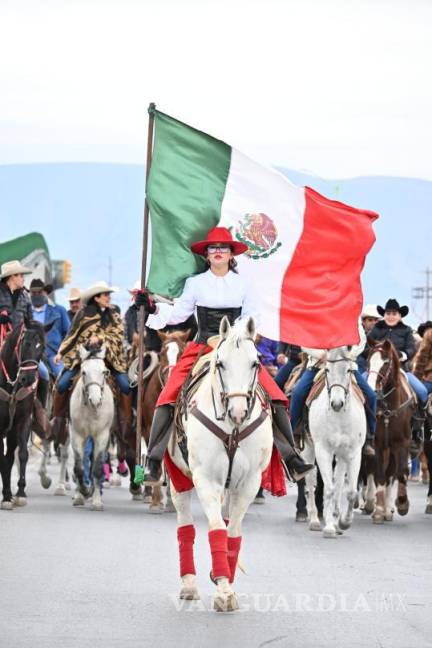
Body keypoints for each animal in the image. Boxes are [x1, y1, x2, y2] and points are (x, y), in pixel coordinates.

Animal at [69, 344, 114, 512]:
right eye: (83, 372)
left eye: (104, 372)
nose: (95, 400)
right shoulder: (76, 434)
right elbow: (79, 467)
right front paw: (83, 491)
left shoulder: (102, 435)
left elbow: (97, 467)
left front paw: (96, 501)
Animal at [167, 318, 272, 612]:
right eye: (221, 363)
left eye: (255, 362)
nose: (237, 412)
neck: (232, 429)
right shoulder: (206, 479)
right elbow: (216, 530)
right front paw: (224, 591)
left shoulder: (249, 483)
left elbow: (232, 533)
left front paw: (225, 581)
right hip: (179, 478)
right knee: (185, 527)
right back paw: (189, 584)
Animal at [302, 346, 366, 540]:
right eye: (327, 370)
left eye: (349, 370)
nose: (337, 403)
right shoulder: (323, 451)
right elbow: (328, 489)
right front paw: (329, 527)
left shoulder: (354, 453)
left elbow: (349, 491)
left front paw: (343, 523)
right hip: (308, 449)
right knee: (310, 483)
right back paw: (314, 519)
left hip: (342, 456)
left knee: (338, 484)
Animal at [366, 340, 414, 520]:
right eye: (369, 361)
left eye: (385, 363)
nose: (371, 387)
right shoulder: (379, 445)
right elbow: (380, 473)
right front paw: (379, 510)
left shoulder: (402, 443)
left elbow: (401, 472)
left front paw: (402, 503)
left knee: (392, 472)